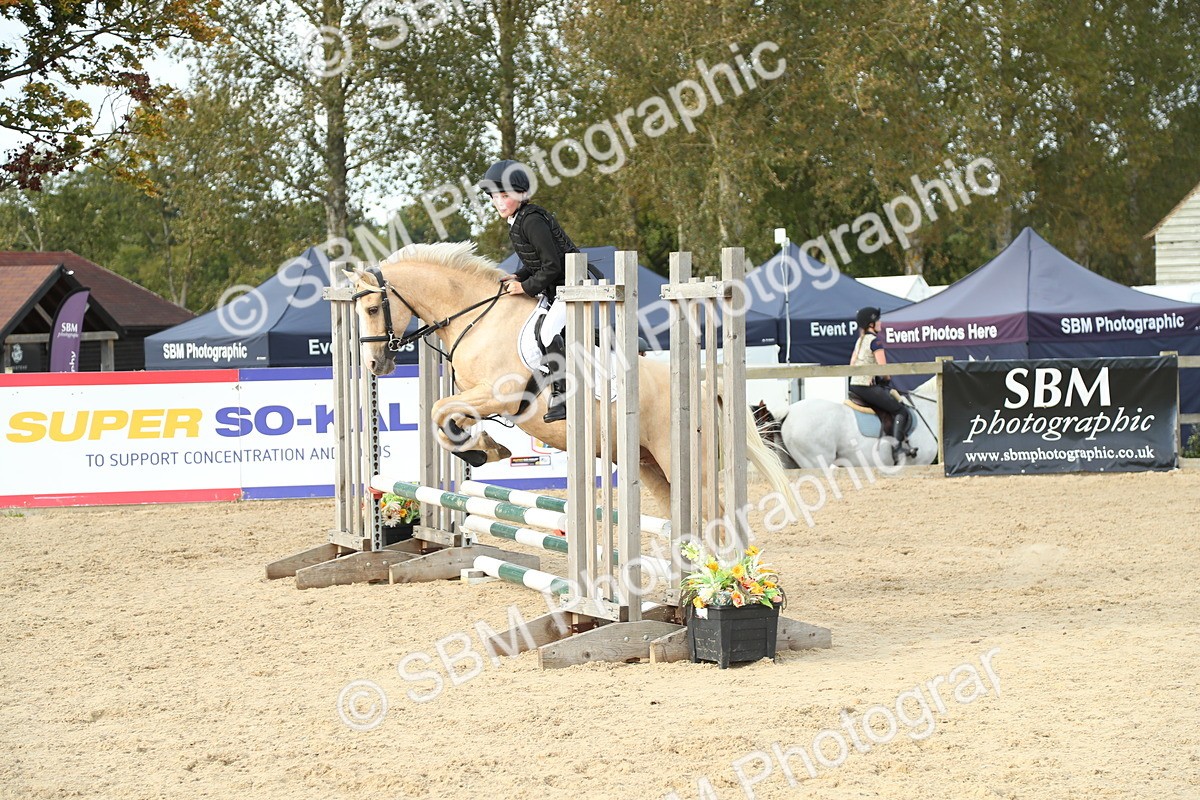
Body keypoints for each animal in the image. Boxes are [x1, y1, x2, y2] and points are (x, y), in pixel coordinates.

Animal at [344, 242, 799, 518]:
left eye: (371, 309)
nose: (374, 366)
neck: (478, 317)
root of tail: (707, 388)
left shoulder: (501, 396)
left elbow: (441, 412)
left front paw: (481, 452)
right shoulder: (474, 396)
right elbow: (447, 417)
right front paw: (486, 447)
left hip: (682, 458)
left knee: (713, 513)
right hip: (650, 463)